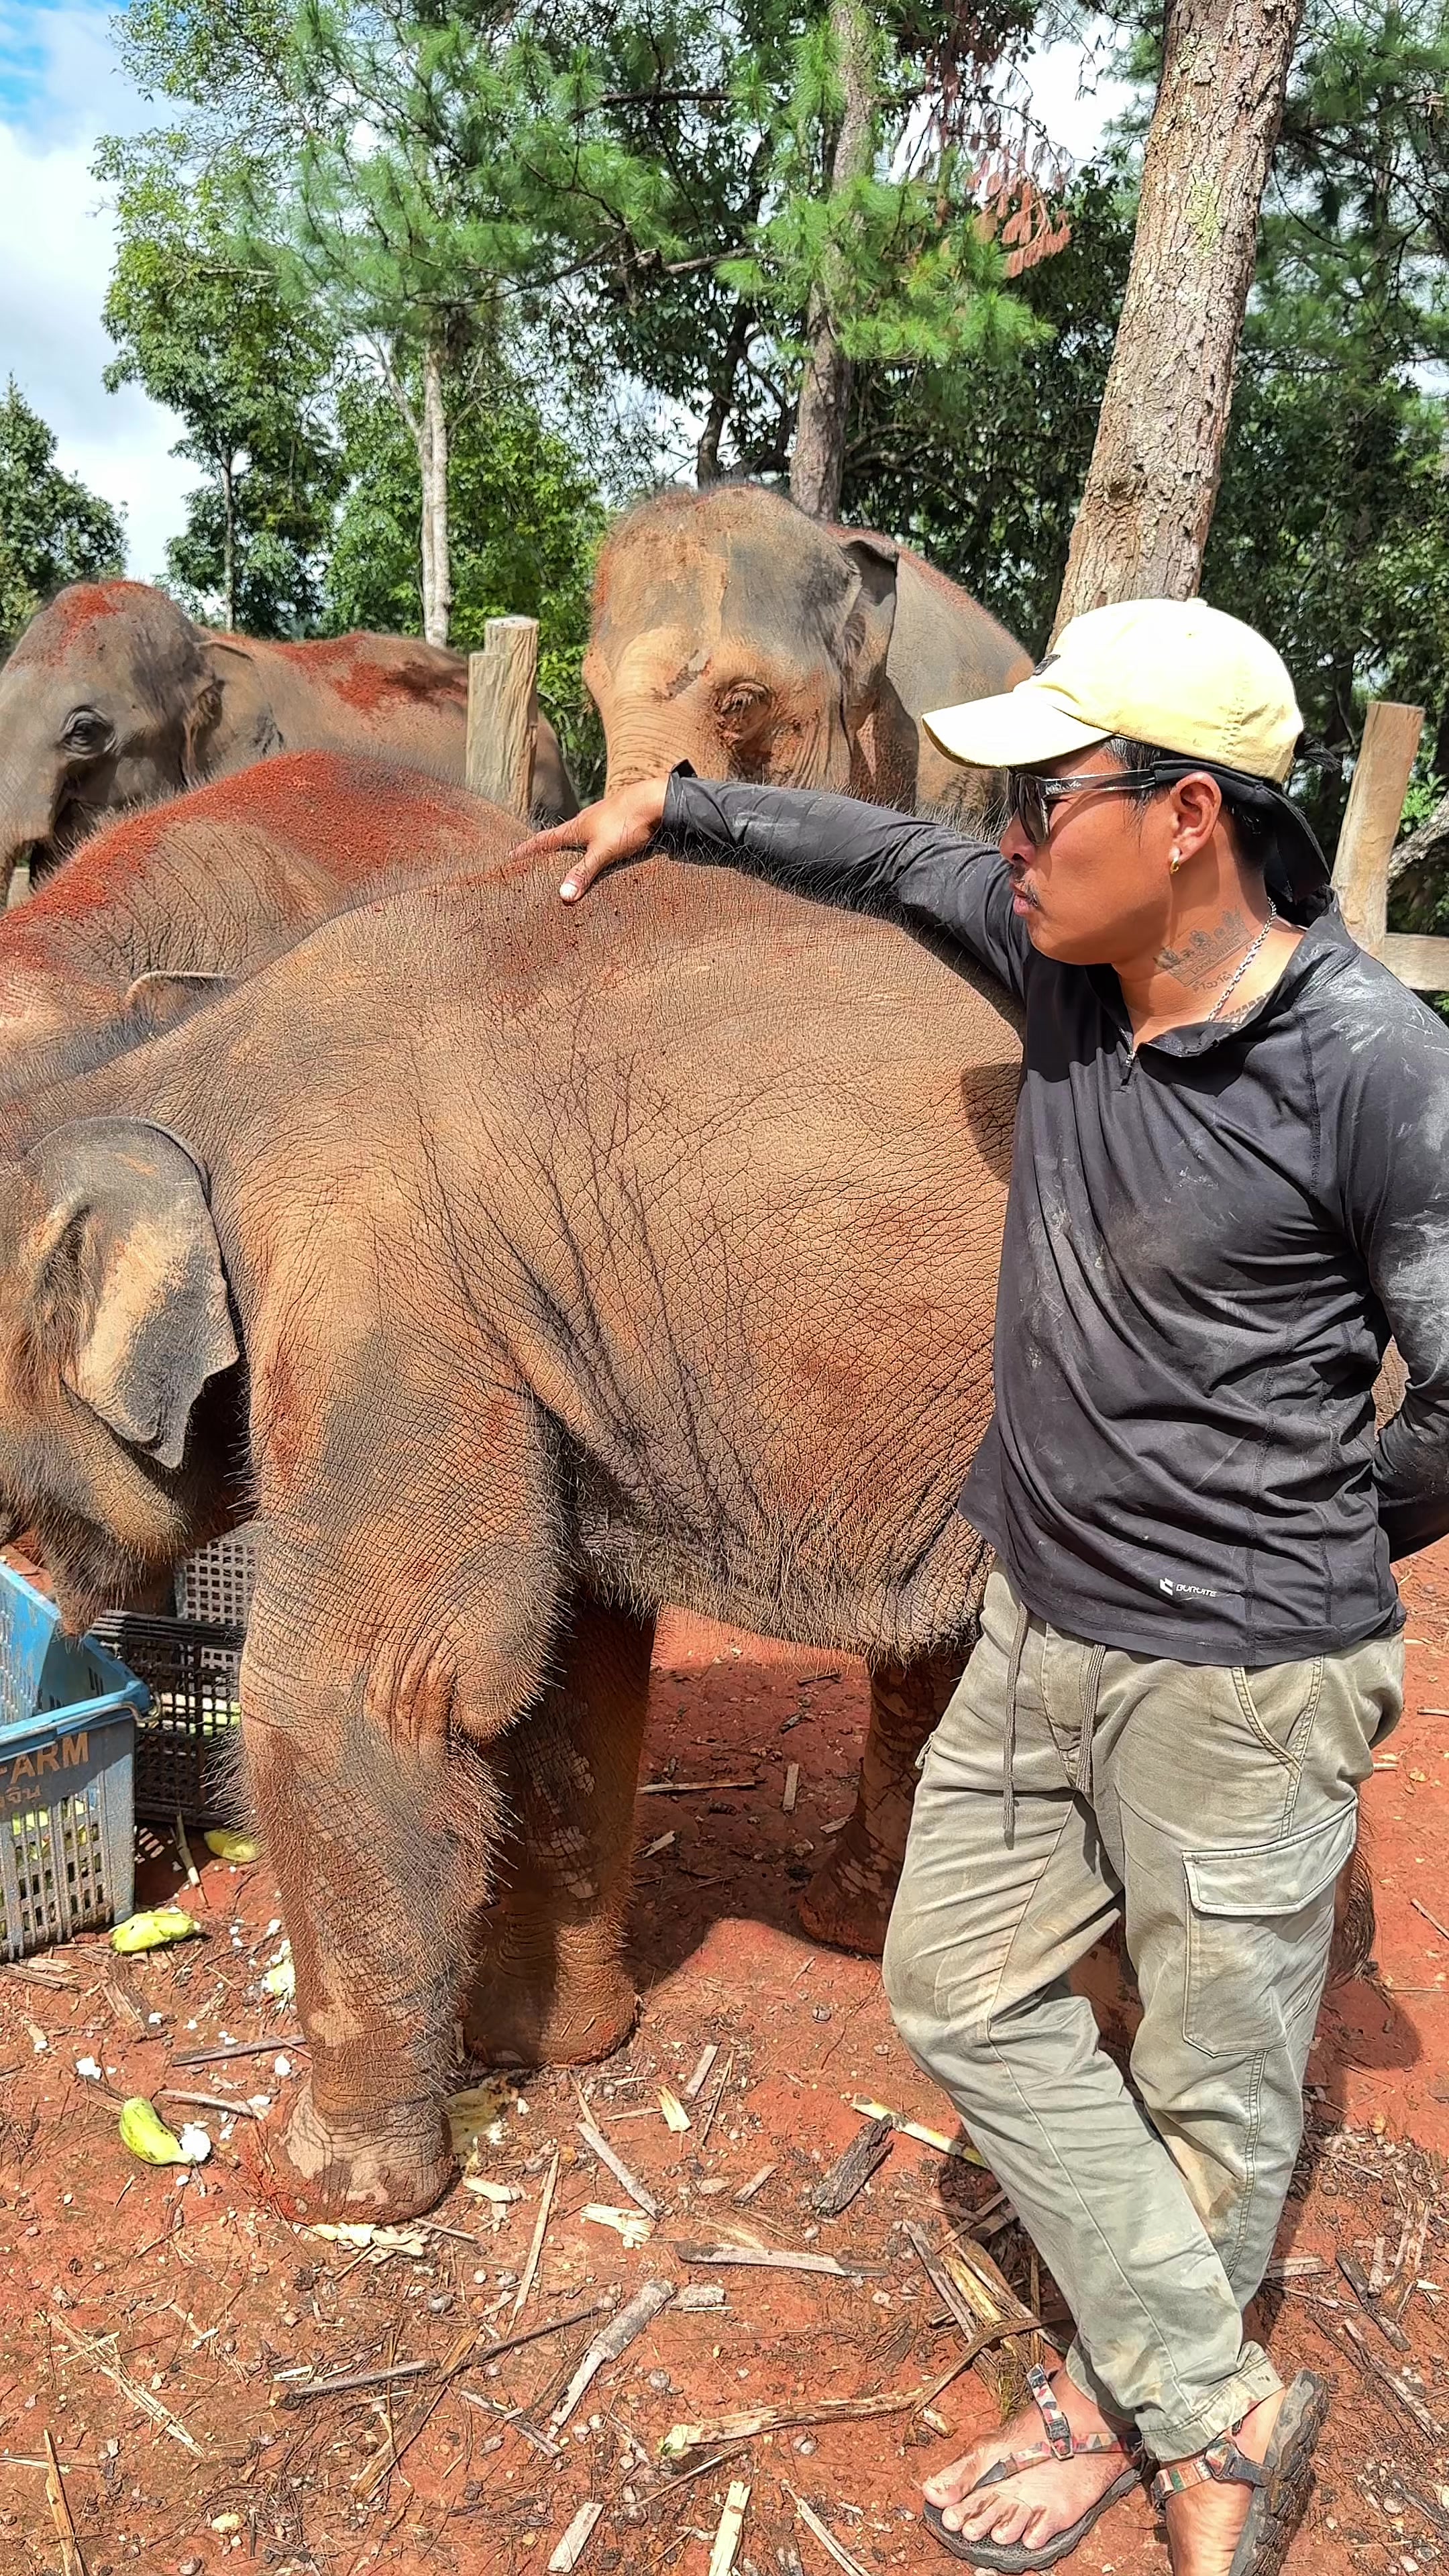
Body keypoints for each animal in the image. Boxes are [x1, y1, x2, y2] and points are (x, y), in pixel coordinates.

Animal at [0, 840, 1023, 2218]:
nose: (56, 1642)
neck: (171, 1062)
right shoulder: (534, 1346)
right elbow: (564, 1670)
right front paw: (546, 2046)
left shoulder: (382, 1288)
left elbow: (355, 1695)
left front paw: (330, 2196)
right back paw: (855, 1928)